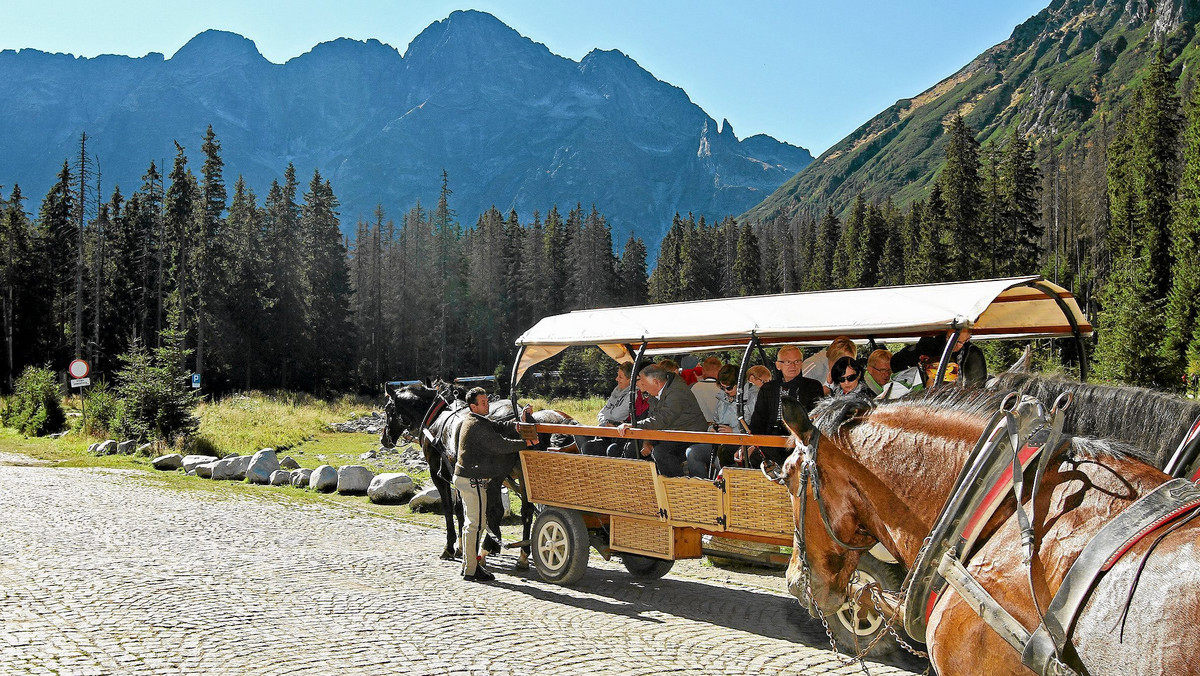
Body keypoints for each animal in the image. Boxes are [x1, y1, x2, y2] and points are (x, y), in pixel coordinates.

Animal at [379, 381, 576, 566]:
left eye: (388, 409)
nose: (384, 438)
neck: (436, 416)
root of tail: (519, 419)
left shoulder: (438, 474)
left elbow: (450, 508)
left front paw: (451, 547)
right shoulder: (460, 474)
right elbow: (464, 508)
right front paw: (465, 545)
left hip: (497, 477)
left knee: (497, 510)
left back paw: (486, 548)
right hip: (522, 475)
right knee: (526, 510)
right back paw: (521, 554)